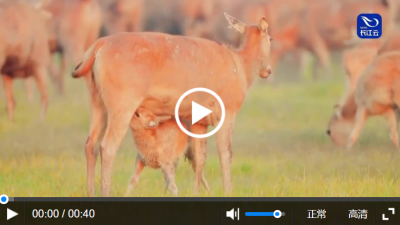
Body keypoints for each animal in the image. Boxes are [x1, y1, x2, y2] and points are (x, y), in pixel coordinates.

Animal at [72, 12, 274, 196]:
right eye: (271, 38)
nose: (268, 70)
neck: (241, 65)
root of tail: (98, 47)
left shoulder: (198, 120)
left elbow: (199, 158)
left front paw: (196, 193)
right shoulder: (227, 111)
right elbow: (226, 154)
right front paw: (228, 191)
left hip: (97, 101)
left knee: (91, 144)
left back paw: (90, 192)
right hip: (122, 105)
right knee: (108, 147)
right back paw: (105, 191)